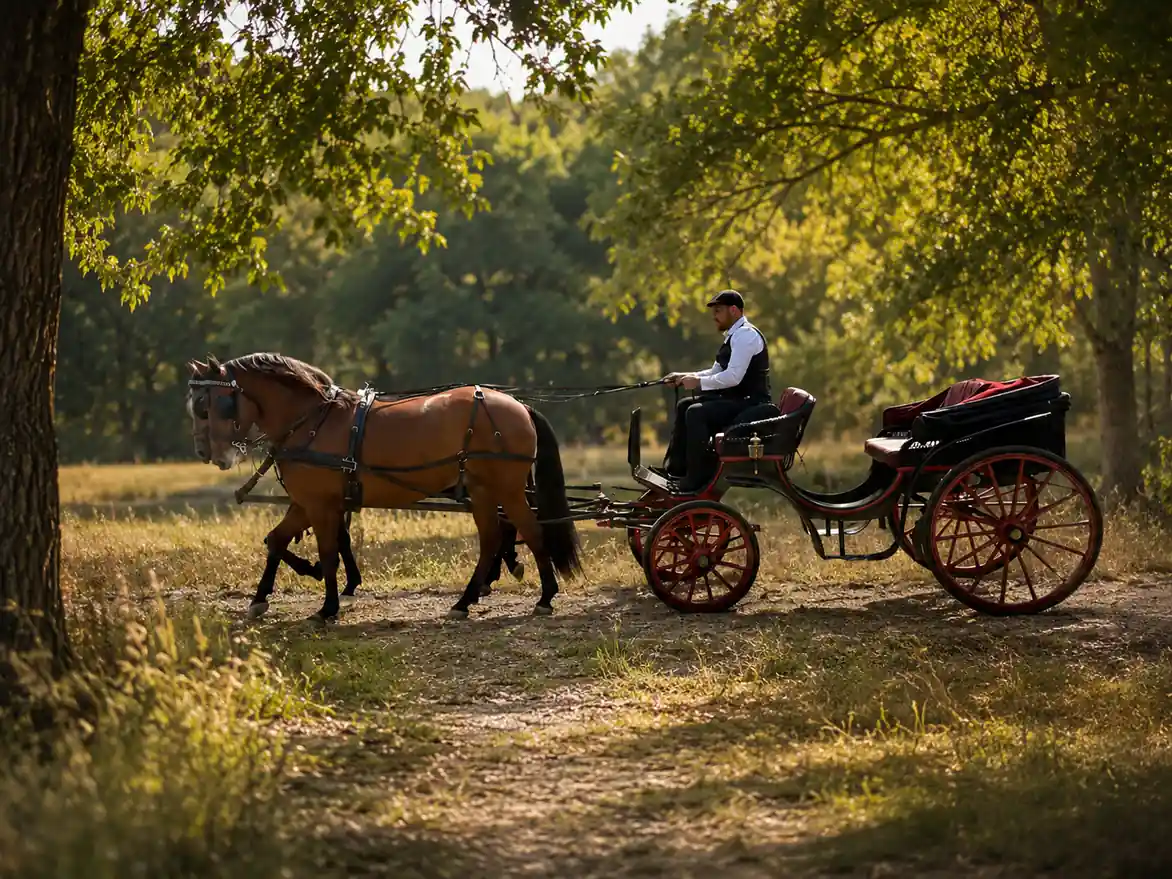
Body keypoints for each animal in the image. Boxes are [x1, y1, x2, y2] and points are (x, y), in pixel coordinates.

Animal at [186, 353, 578, 623]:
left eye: (206, 405)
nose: (206, 453)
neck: (311, 420)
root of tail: (519, 406)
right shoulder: (306, 502)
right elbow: (277, 540)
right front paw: (261, 598)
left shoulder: (321, 504)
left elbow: (329, 552)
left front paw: (327, 606)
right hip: (483, 492)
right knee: (492, 540)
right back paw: (465, 601)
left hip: (507, 490)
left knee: (531, 532)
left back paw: (545, 597)